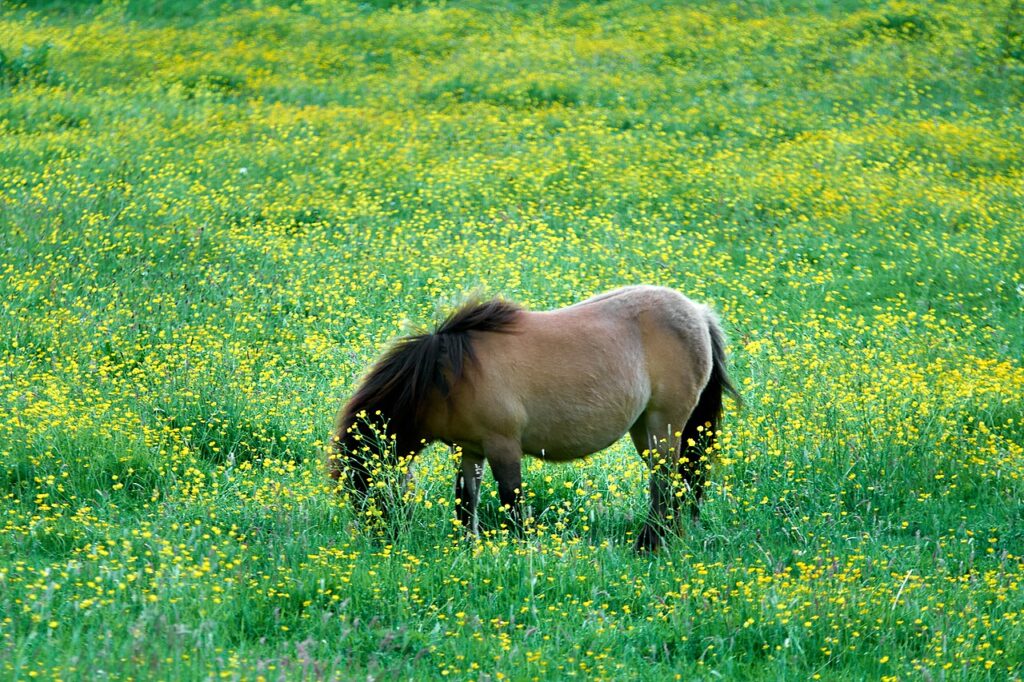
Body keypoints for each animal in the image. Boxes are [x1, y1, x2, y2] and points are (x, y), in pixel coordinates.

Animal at [328, 285, 740, 551]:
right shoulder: (469, 449)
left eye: (365, 485)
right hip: (647, 430)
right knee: (675, 483)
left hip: (662, 426)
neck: (449, 375)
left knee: (665, 484)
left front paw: (520, 550)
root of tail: (698, 313)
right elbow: (466, 501)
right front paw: (466, 548)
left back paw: (648, 545)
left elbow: (511, 501)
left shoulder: (503, 446)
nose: (383, 540)